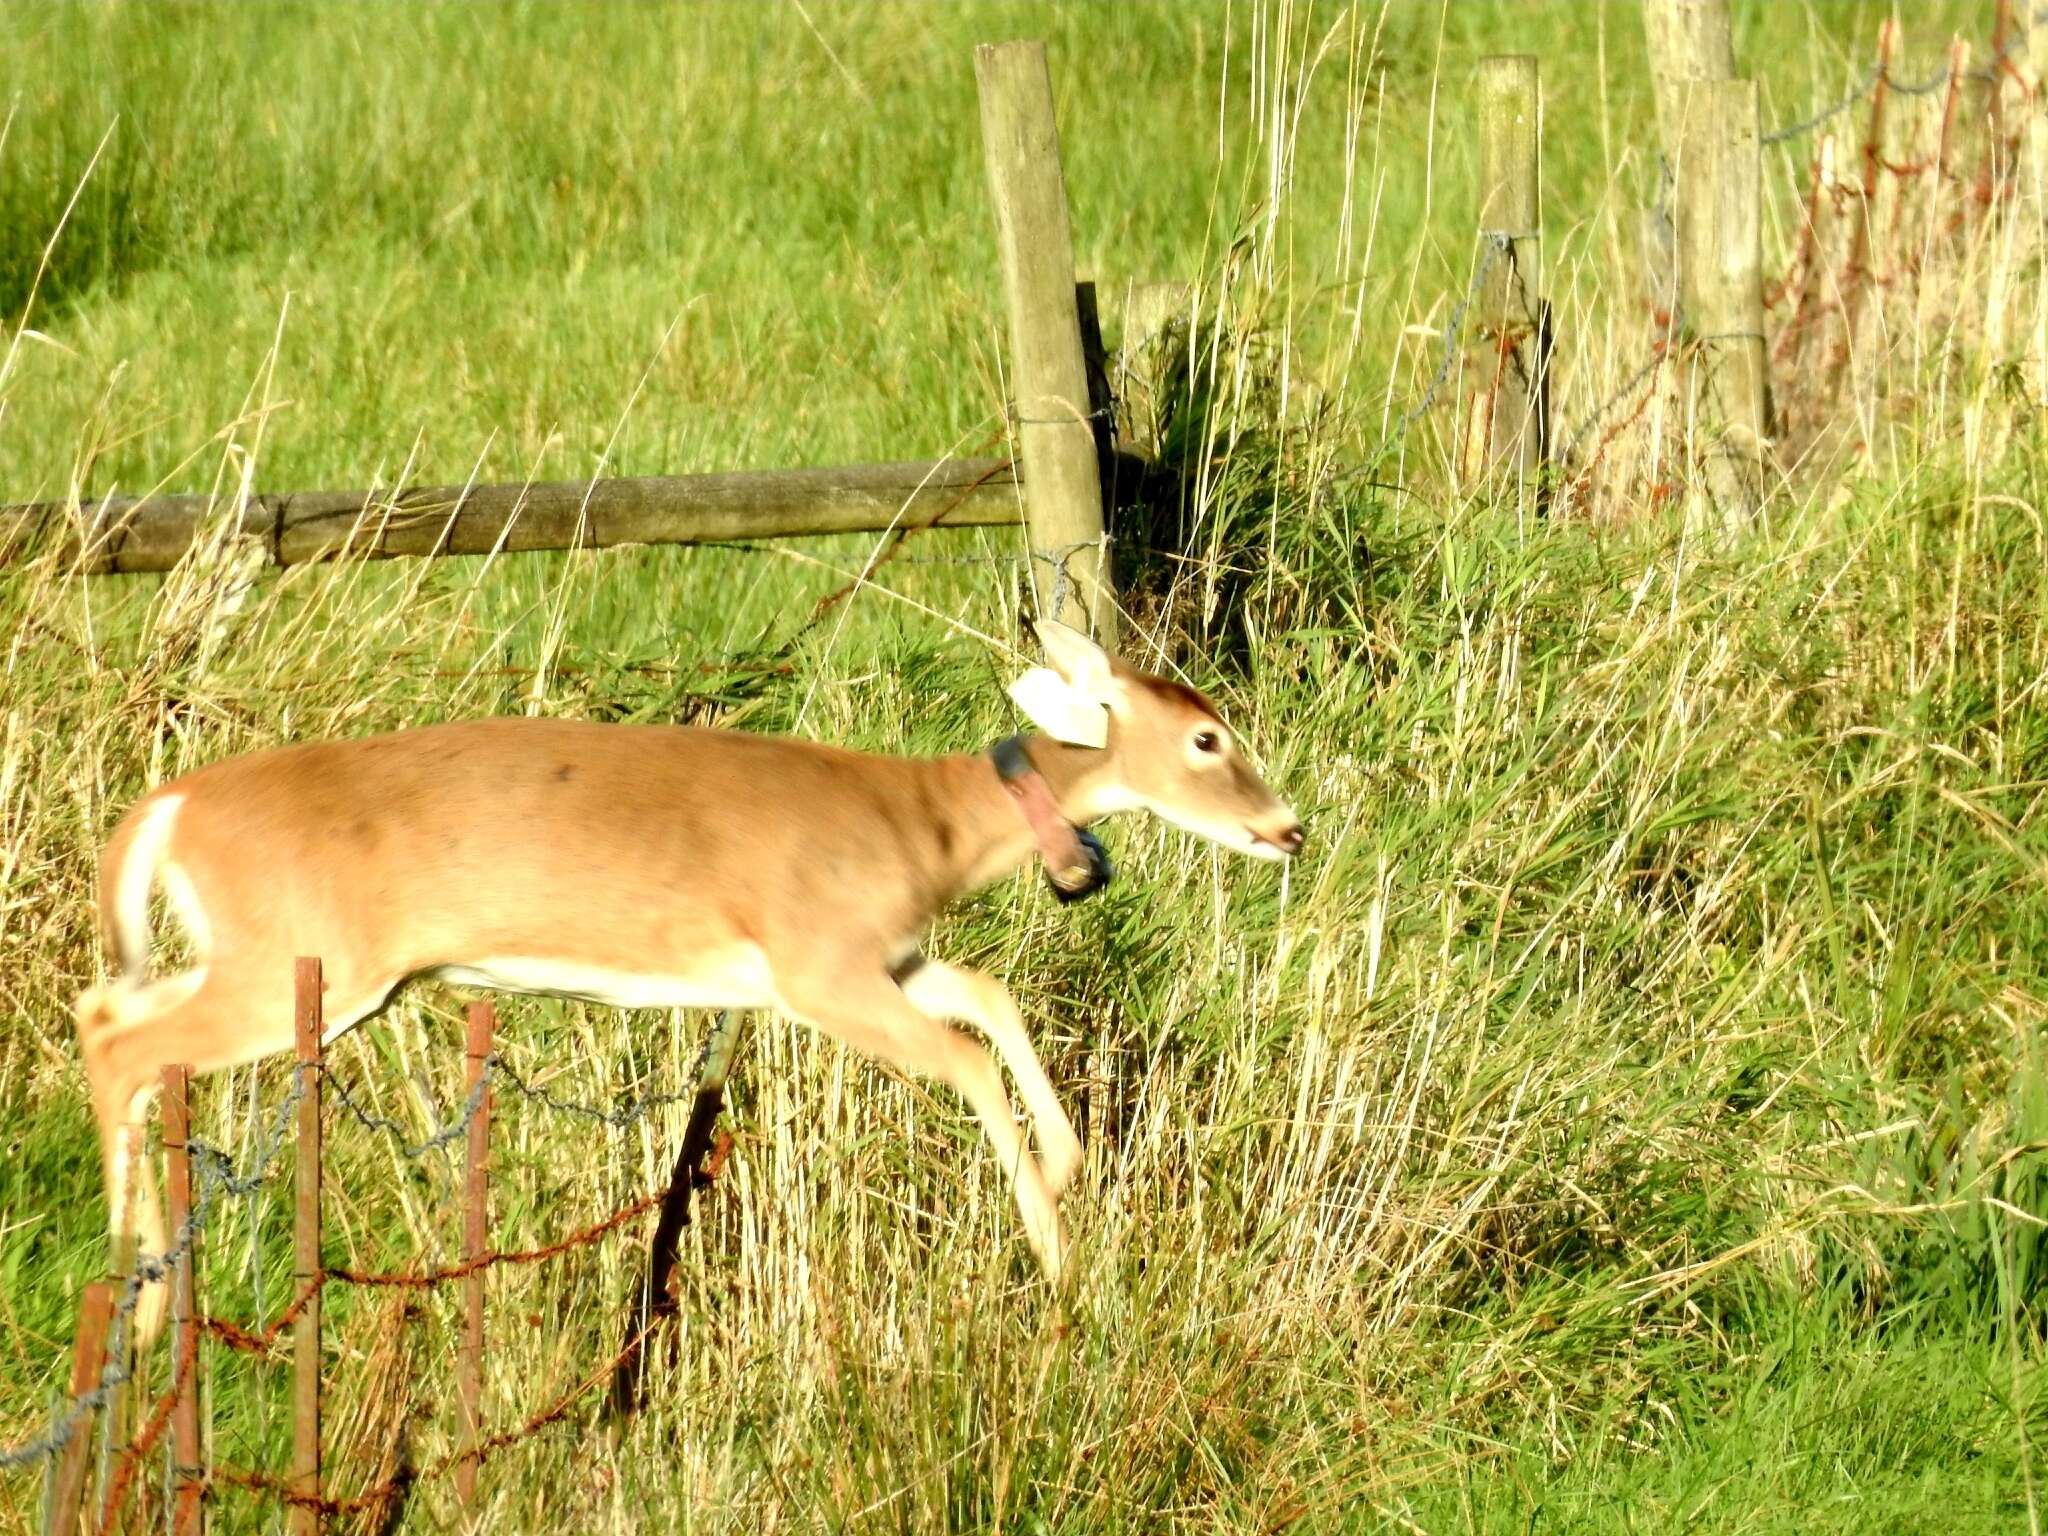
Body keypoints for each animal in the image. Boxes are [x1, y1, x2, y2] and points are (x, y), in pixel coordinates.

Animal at [79, 618, 1302, 1343]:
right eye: (1207, 738)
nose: (1288, 826)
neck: (929, 832)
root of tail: (168, 809)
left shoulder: (880, 956)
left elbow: (987, 997)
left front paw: (1062, 1165)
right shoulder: (815, 963)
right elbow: (961, 1057)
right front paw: (1054, 1253)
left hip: (263, 955)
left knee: (108, 1008)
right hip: (312, 958)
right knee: (123, 1041)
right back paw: (137, 1304)